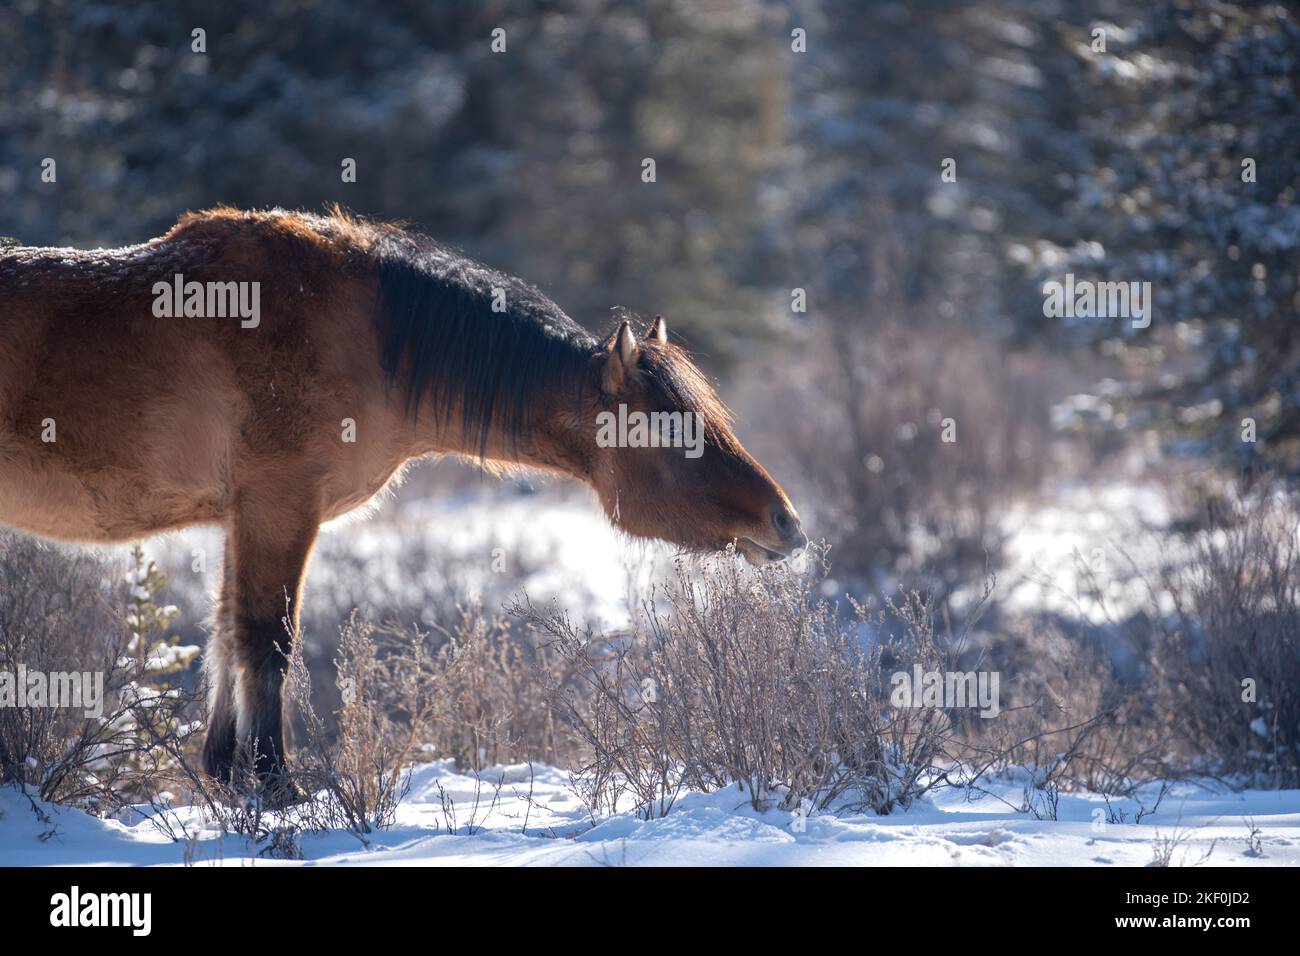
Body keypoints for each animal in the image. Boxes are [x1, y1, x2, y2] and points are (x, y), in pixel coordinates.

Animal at [0, 207, 806, 795]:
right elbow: (267, 638)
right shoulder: (278, 505)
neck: (366, 341)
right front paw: (275, 785)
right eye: (675, 434)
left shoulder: (242, 515)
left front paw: (228, 772)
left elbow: (227, 632)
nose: (787, 523)